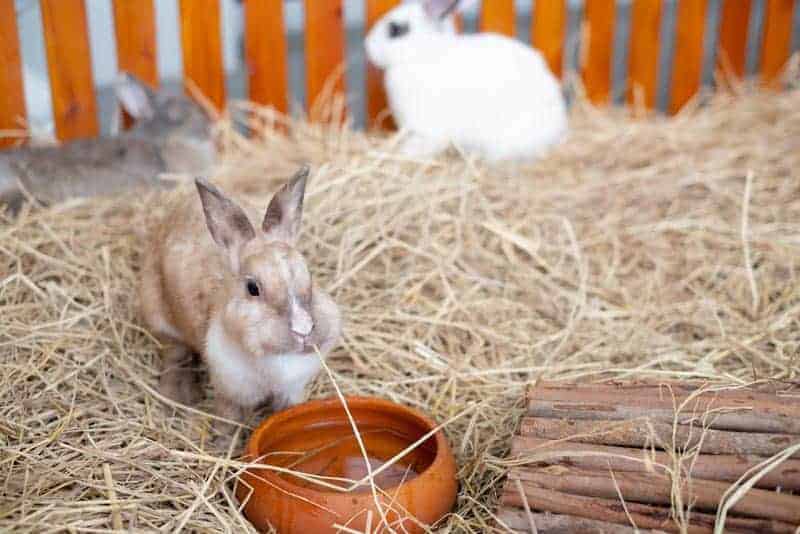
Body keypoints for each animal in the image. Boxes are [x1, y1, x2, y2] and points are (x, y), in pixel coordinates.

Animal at [138, 166, 341, 441]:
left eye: (309, 274)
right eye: (252, 288)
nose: (303, 330)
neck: (276, 360)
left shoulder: (292, 390)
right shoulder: (229, 391)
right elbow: (229, 420)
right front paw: (224, 444)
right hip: (160, 319)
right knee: (174, 356)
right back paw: (179, 397)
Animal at [365, 0, 568, 163]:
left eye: (396, 29)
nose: (367, 46)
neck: (425, 54)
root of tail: (557, 129)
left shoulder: (429, 130)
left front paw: (405, 153)